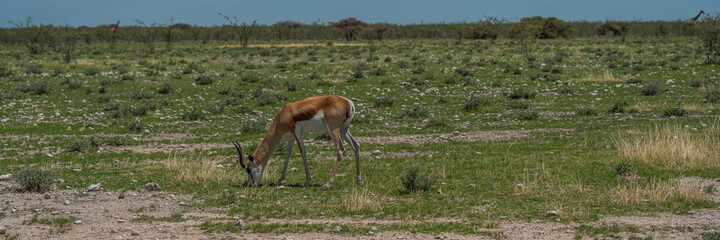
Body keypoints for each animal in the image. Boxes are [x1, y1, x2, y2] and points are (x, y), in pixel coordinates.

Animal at [232, 94, 360, 188]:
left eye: (249, 169)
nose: (250, 185)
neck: (283, 115)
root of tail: (348, 103)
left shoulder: (296, 132)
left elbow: (302, 152)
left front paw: (307, 181)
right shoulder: (291, 138)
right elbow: (287, 155)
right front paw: (279, 180)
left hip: (333, 129)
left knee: (341, 150)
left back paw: (327, 184)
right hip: (344, 129)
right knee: (356, 146)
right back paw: (358, 180)